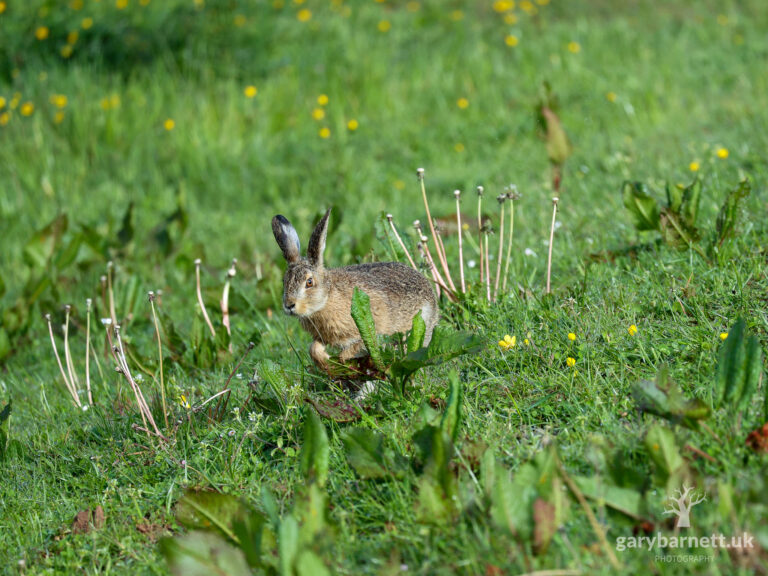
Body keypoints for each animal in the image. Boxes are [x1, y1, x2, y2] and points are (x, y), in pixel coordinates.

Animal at [272, 208, 439, 371]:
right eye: (284, 281)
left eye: (309, 282)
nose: (289, 305)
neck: (328, 298)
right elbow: (314, 348)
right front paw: (326, 361)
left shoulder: (372, 329)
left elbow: (358, 346)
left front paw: (341, 361)